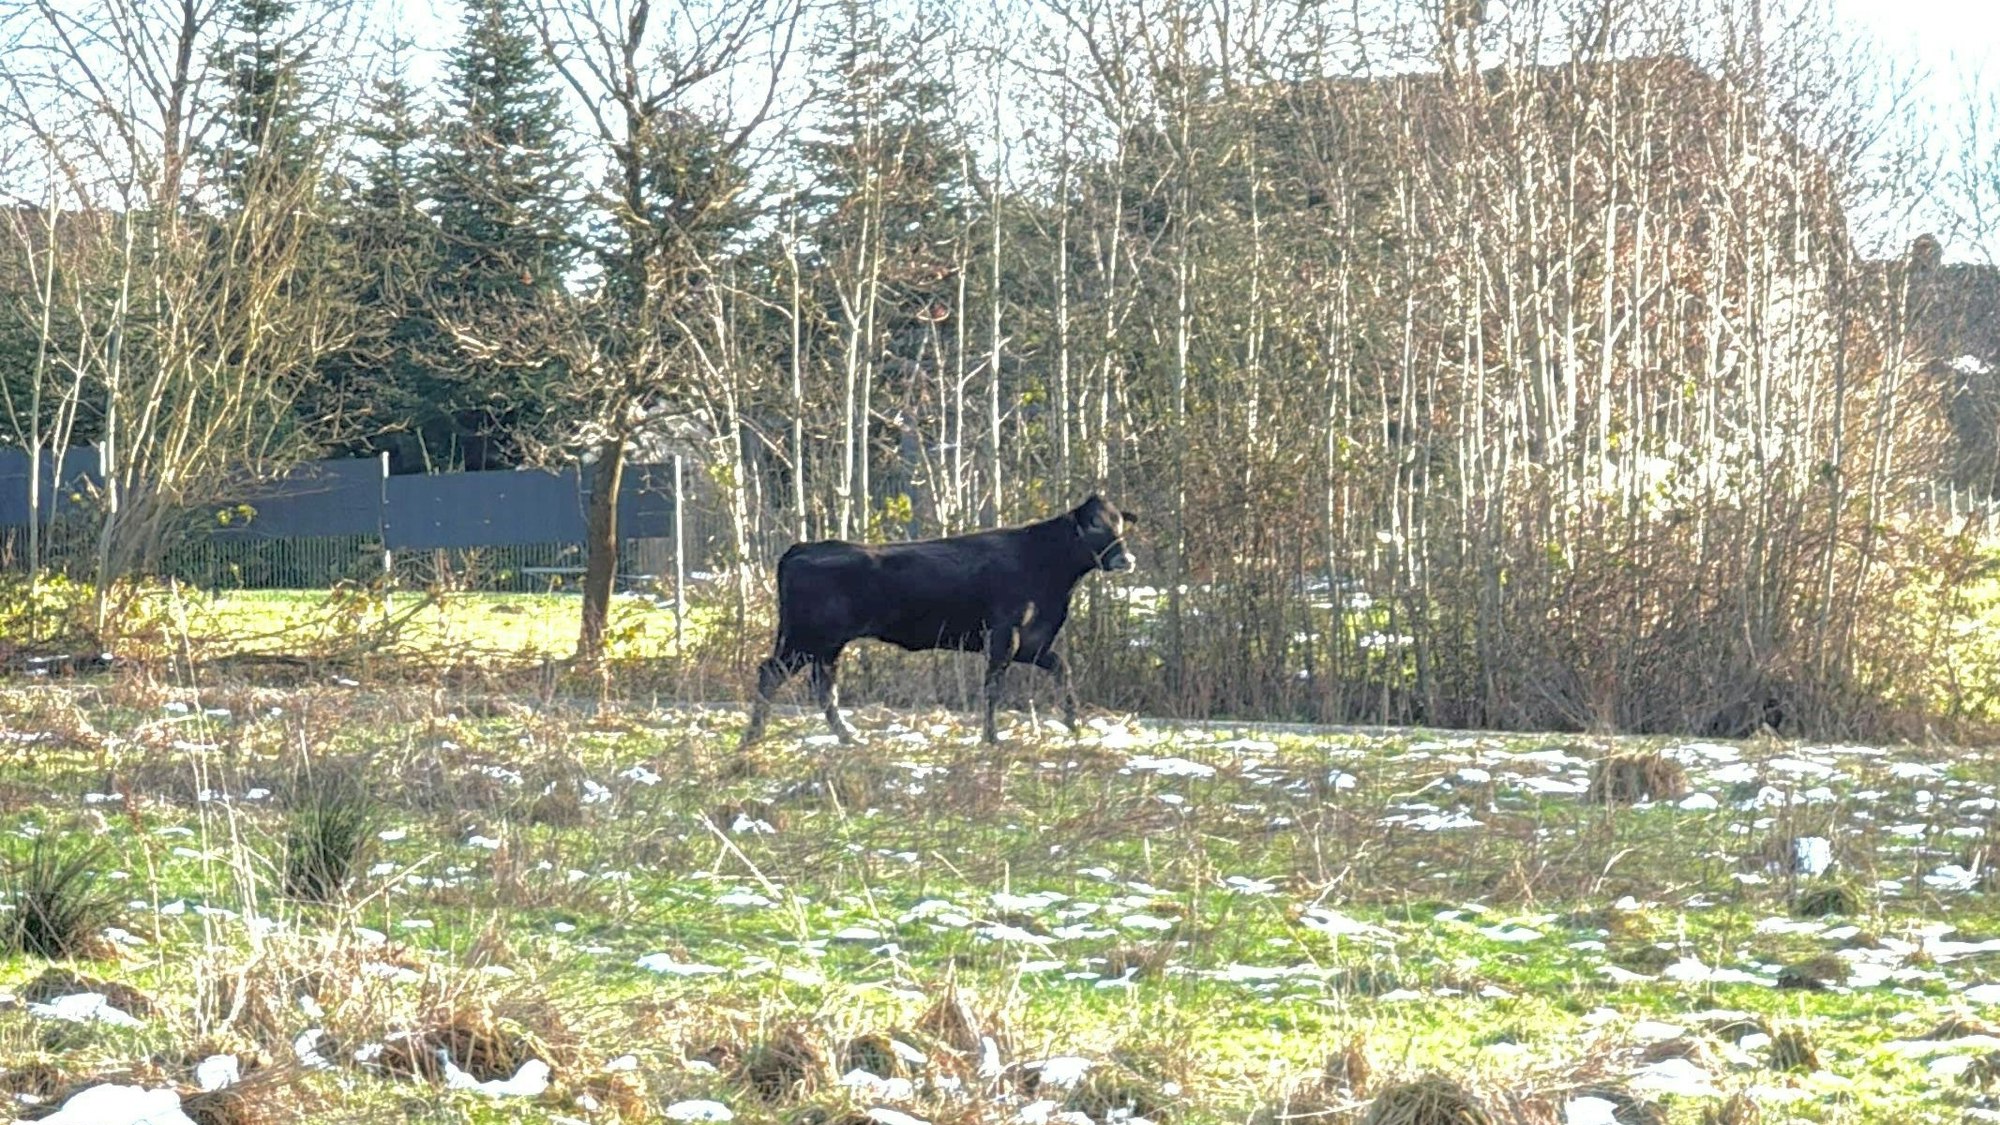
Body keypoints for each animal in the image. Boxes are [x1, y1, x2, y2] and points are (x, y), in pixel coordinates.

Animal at [739, 494, 1137, 747]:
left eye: (1120, 524)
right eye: (1093, 526)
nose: (1126, 558)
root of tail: (801, 548)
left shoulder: (1032, 643)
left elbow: (1061, 668)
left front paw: (1073, 723)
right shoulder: (1003, 635)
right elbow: (993, 688)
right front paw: (992, 738)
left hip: (826, 646)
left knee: (824, 688)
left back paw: (847, 738)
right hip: (804, 640)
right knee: (771, 673)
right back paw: (753, 737)